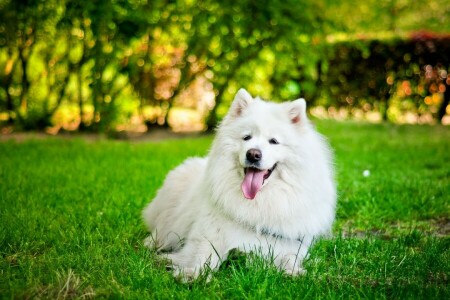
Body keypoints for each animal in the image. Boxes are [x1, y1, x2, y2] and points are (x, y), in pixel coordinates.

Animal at [142, 89, 336, 282]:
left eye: (273, 141)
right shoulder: (209, 235)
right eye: (246, 137)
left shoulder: (287, 243)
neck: (258, 203)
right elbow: (204, 254)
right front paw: (194, 273)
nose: (253, 154)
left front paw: (295, 272)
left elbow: (289, 257)